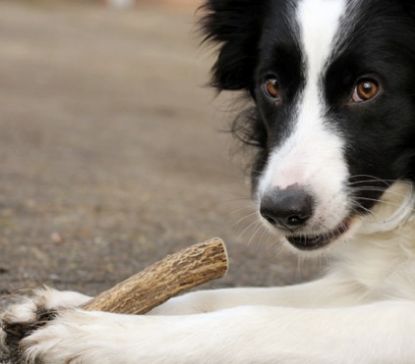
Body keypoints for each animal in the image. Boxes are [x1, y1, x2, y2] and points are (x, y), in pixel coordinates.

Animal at [0, 0, 415, 362]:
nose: (281, 212)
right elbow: (225, 296)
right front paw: (67, 306)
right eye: (272, 86)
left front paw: (95, 337)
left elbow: (256, 317)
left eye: (367, 88)